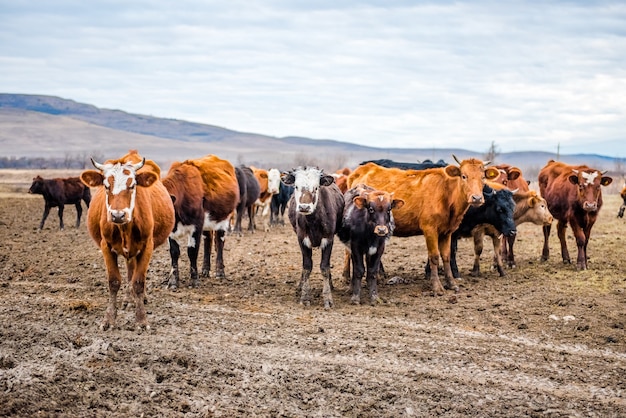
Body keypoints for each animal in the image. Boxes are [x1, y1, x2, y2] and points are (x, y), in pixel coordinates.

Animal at [80, 150, 176, 330]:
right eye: (106, 186)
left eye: (132, 186)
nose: (118, 215)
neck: (125, 228)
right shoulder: (106, 246)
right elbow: (114, 282)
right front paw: (109, 320)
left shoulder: (147, 246)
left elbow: (138, 281)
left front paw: (141, 320)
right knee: (130, 269)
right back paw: (128, 299)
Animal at [282, 167, 342, 310]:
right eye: (296, 186)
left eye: (316, 187)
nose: (304, 207)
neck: (313, 221)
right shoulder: (302, 240)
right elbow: (307, 267)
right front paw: (305, 297)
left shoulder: (328, 240)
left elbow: (325, 267)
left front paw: (328, 298)